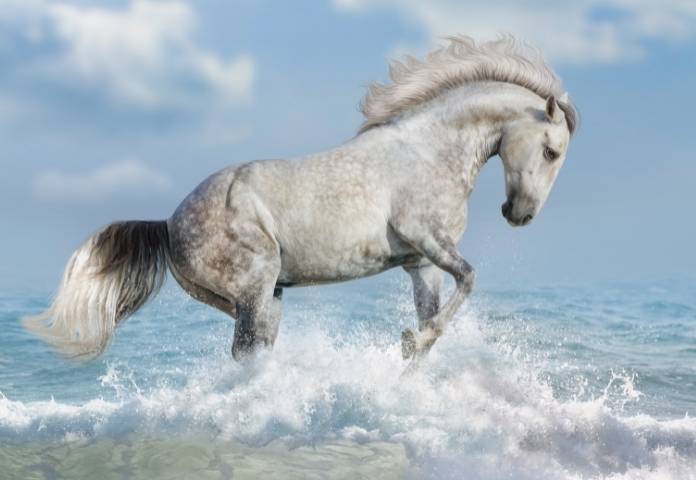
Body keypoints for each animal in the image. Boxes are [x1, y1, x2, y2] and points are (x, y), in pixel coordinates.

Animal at [24, 35, 578, 366]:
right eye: (551, 150)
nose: (520, 215)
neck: (428, 149)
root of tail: (168, 222)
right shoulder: (426, 237)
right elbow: (470, 279)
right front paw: (410, 343)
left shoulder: (420, 263)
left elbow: (441, 306)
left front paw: (413, 353)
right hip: (254, 289)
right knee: (245, 355)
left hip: (263, 297)